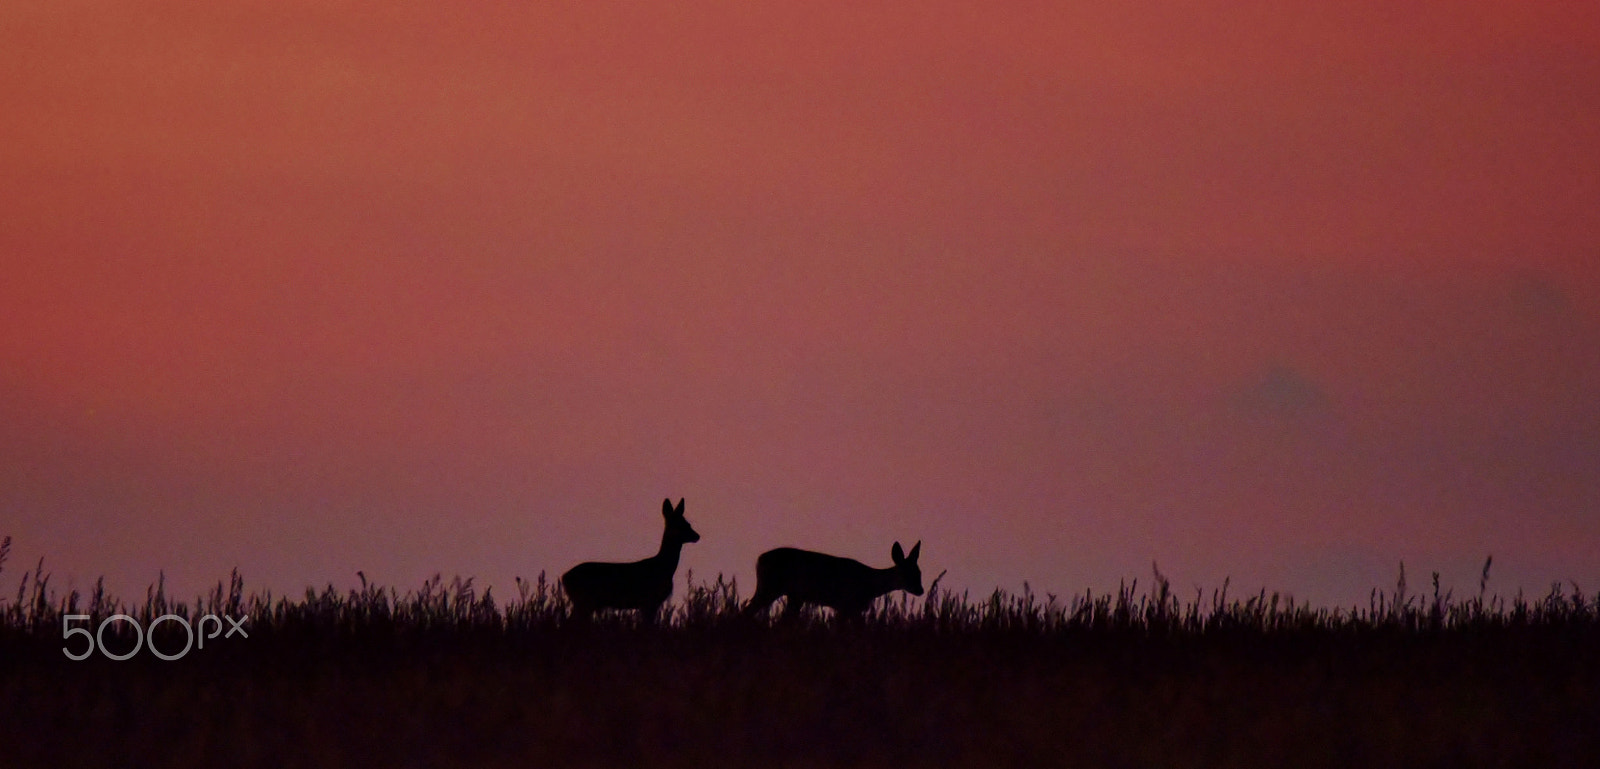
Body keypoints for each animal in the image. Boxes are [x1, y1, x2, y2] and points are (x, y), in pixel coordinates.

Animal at [560, 498, 697, 623]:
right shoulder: (649, 600)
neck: (663, 568)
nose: (697, 536)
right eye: (682, 525)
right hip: (583, 600)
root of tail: (564, 577)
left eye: (688, 523)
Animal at [739, 540, 921, 617]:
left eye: (919, 573)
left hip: (793, 596)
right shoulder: (846, 604)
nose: (921, 590)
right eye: (908, 573)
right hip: (769, 587)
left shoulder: (852, 608)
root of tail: (759, 559)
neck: (870, 584)